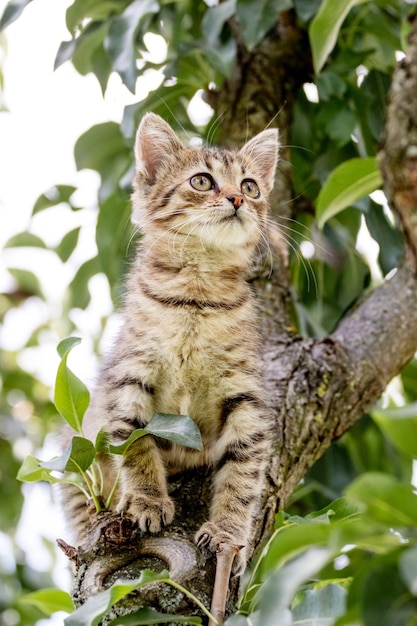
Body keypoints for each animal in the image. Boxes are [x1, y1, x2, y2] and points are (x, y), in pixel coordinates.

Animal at [63, 112, 278, 572]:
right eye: (202, 181)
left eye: (250, 185)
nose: (238, 199)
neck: (196, 297)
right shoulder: (129, 374)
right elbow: (134, 439)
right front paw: (146, 499)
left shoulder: (246, 396)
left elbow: (244, 470)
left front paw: (229, 534)